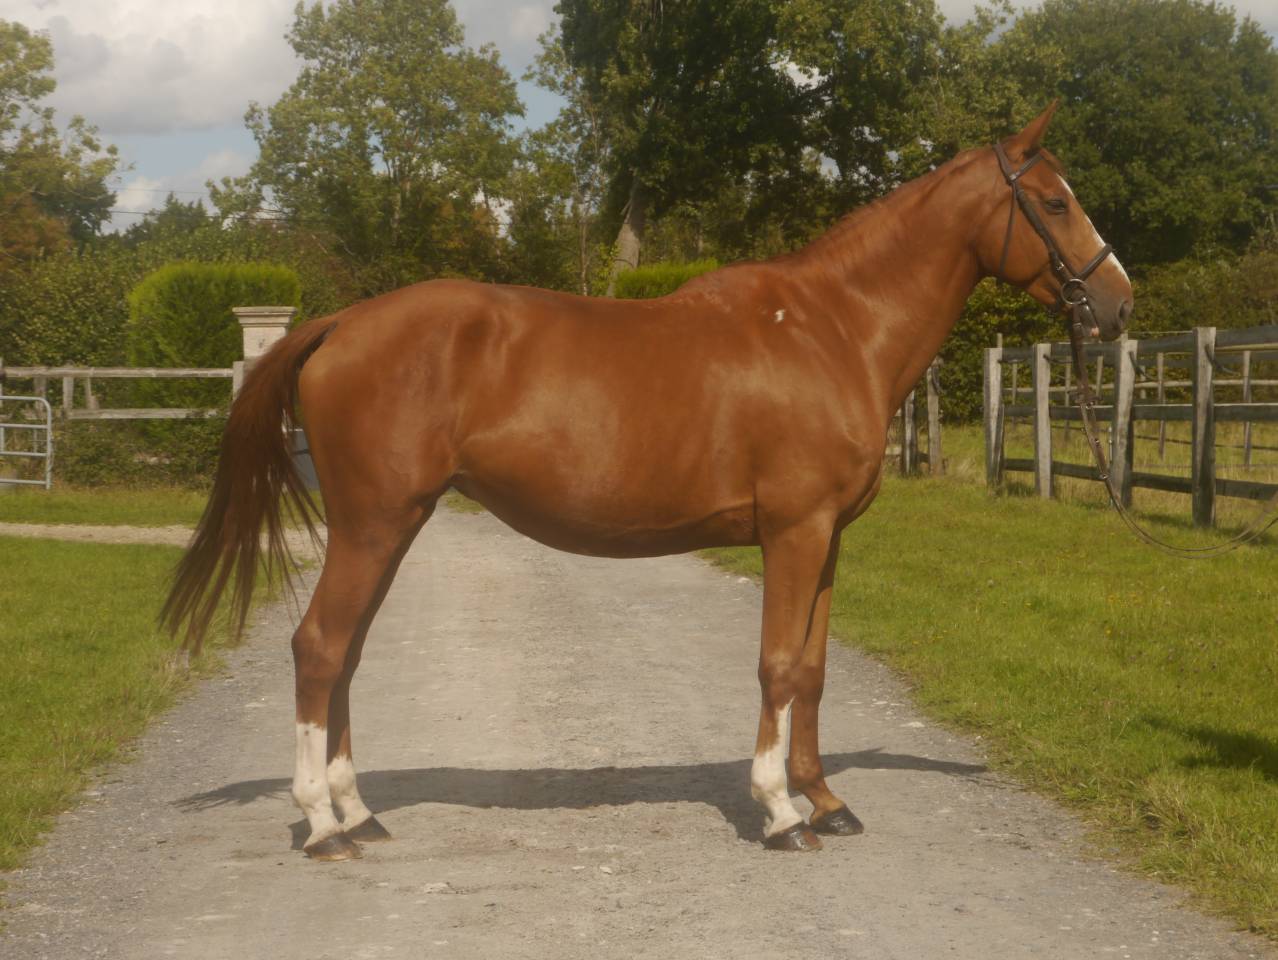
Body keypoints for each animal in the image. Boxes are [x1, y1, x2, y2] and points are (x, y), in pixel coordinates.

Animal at [164, 103, 1132, 860]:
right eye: (1054, 201)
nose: (1119, 304)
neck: (833, 330)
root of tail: (339, 324)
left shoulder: (826, 539)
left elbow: (814, 670)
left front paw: (826, 801)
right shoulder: (794, 532)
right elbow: (778, 666)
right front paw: (780, 811)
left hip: (390, 526)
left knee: (347, 653)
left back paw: (359, 812)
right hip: (374, 524)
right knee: (320, 648)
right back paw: (325, 826)